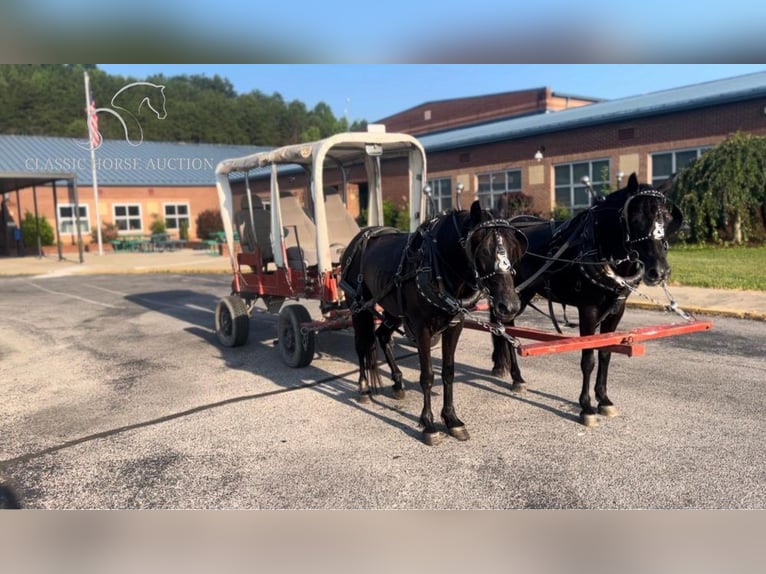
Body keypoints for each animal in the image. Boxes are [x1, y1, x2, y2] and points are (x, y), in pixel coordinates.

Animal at [342, 200, 528, 448]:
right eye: (481, 249)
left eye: (514, 247)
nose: (510, 305)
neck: (437, 266)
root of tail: (361, 236)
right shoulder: (422, 328)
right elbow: (427, 376)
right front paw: (429, 424)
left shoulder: (455, 325)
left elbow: (448, 372)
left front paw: (452, 420)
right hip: (359, 307)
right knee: (362, 345)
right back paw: (363, 389)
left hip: (392, 309)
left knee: (382, 336)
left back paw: (398, 383)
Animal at [492, 173, 684, 426]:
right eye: (635, 217)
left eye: (668, 218)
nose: (659, 271)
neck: (601, 246)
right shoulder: (588, 310)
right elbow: (588, 359)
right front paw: (586, 407)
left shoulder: (616, 309)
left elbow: (605, 353)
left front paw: (604, 399)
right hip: (515, 294)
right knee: (505, 327)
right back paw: (516, 377)